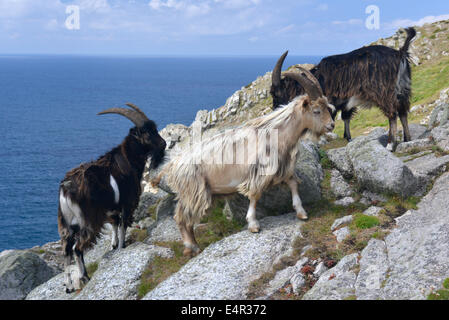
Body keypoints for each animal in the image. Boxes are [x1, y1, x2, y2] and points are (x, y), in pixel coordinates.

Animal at [57, 104, 165, 292]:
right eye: (146, 133)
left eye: (155, 129)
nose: (164, 144)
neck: (128, 160)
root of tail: (66, 188)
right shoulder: (127, 203)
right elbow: (122, 226)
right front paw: (122, 247)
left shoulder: (111, 207)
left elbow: (114, 223)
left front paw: (114, 245)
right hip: (88, 220)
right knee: (77, 248)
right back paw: (85, 277)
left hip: (66, 223)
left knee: (66, 250)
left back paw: (69, 286)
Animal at [152, 68, 334, 258]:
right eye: (316, 110)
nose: (331, 125)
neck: (275, 133)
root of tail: (172, 165)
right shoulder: (258, 172)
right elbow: (255, 195)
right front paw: (253, 225)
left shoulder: (282, 168)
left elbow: (293, 184)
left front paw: (301, 212)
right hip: (193, 190)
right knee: (182, 218)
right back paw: (191, 246)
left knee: (183, 217)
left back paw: (193, 246)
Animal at [270, 26, 416, 151]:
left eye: (275, 93)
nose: (276, 109)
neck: (319, 78)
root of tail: (400, 54)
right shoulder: (345, 103)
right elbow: (346, 118)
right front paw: (348, 138)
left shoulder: (330, 102)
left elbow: (330, 119)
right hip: (403, 89)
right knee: (403, 112)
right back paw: (407, 140)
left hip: (384, 93)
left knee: (392, 114)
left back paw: (390, 144)